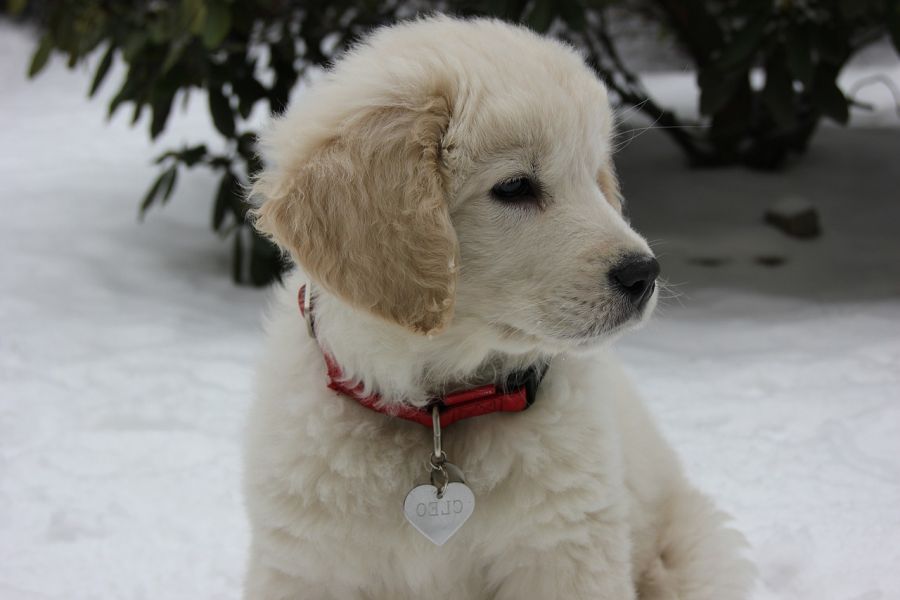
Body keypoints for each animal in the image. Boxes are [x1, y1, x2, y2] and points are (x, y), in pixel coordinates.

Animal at [244, 15, 752, 600]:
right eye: (514, 186)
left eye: (592, 176)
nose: (643, 274)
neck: (439, 409)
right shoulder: (305, 564)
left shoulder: (565, 554)